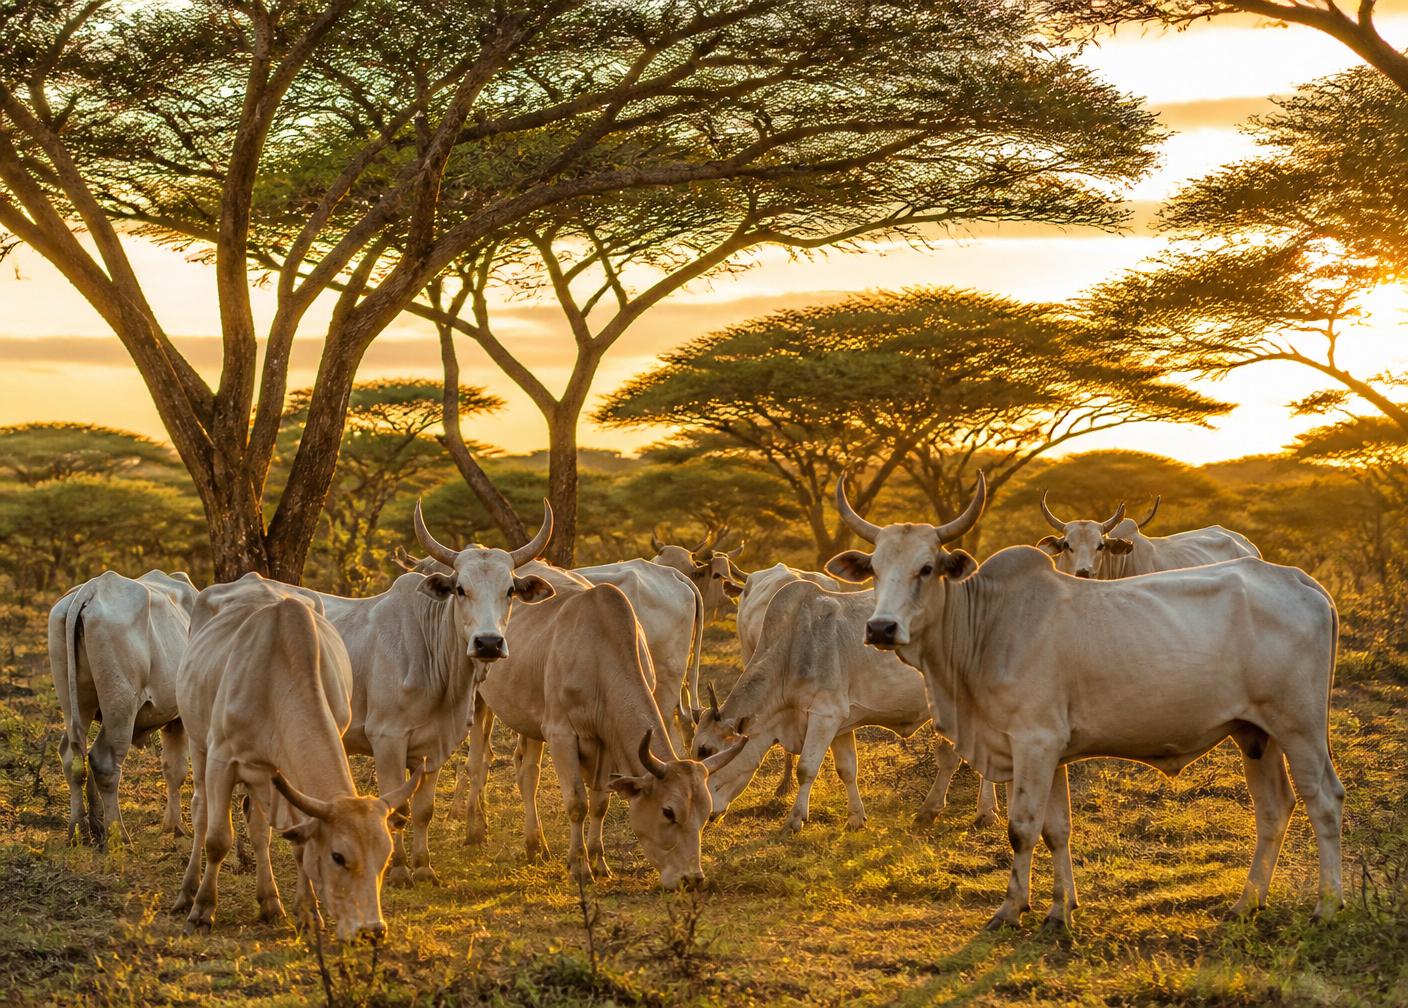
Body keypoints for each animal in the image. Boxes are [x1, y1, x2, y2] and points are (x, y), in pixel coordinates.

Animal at [49, 569, 198, 849]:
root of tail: (91, 588)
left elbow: (172, 769)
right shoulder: (182, 718)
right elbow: (178, 771)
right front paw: (175, 826)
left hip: (77, 702)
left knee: (74, 756)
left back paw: (79, 830)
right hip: (121, 706)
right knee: (104, 761)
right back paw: (118, 835)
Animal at [173, 574, 421, 940]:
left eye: (386, 856)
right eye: (338, 856)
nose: (371, 930)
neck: (277, 677)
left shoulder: (290, 779)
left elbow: (301, 843)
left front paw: (309, 913)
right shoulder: (222, 760)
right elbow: (218, 839)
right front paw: (203, 910)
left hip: (263, 776)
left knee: (259, 830)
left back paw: (270, 901)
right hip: (197, 742)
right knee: (202, 813)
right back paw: (187, 893)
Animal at [307, 502, 556, 886]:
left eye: (510, 590)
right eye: (460, 589)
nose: (488, 643)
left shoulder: (435, 745)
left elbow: (424, 810)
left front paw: (423, 867)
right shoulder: (387, 740)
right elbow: (396, 810)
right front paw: (397, 871)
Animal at [461, 562, 748, 889]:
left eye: (705, 811)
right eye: (668, 811)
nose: (692, 879)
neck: (598, 653)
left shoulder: (607, 740)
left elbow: (599, 802)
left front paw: (598, 861)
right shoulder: (561, 734)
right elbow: (577, 803)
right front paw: (579, 866)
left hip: (529, 719)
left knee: (527, 772)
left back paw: (535, 844)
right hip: (480, 698)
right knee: (478, 763)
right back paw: (474, 830)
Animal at [693, 578, 997, 833]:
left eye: (706, 749)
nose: (704, 814)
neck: (792, 648)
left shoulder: (824, 714)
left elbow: (806, 769)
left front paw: (794, 820)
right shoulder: (840, 722)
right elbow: (847, 769)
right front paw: (855, 818)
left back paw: (980, 812)